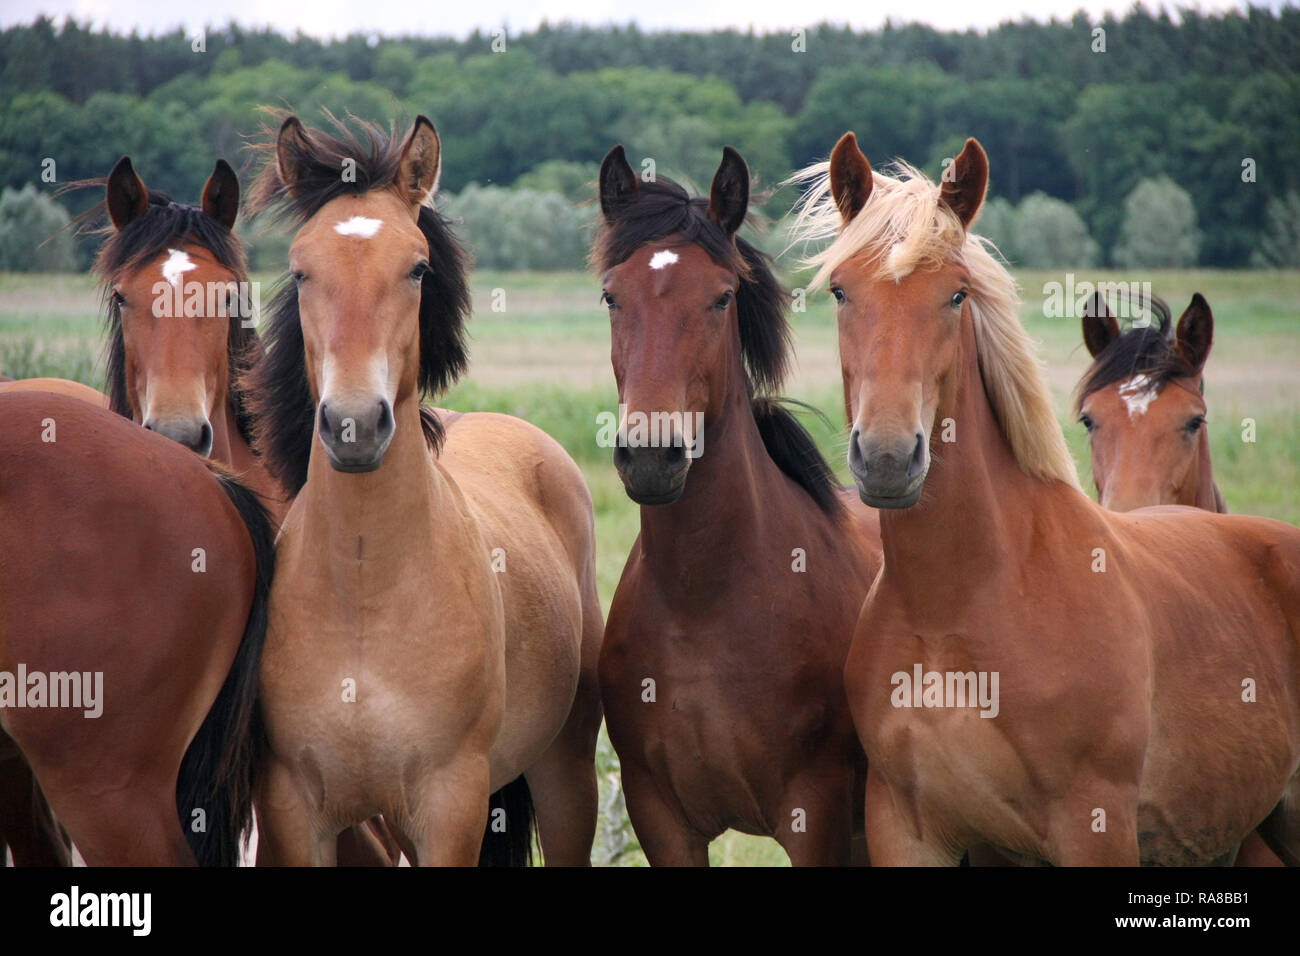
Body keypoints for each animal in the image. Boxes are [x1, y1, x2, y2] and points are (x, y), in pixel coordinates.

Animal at [244, 111, 603, 868]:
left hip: (565, 773)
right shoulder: (294, 811)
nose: (353, 423)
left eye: (416, 267)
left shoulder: (450, 805)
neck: (363, 593)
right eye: (300, 268)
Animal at [595, 143, 883, 868]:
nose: (652, 456)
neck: (702, 605)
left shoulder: (815, 815)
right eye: (612, 295)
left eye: (721, 297)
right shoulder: (662, 819)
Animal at [785, 132, 1300, 868]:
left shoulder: (1095, 826)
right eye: (839, 290)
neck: (958, 606)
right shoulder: (905, 830)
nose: (886, 456)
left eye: (956, 295)